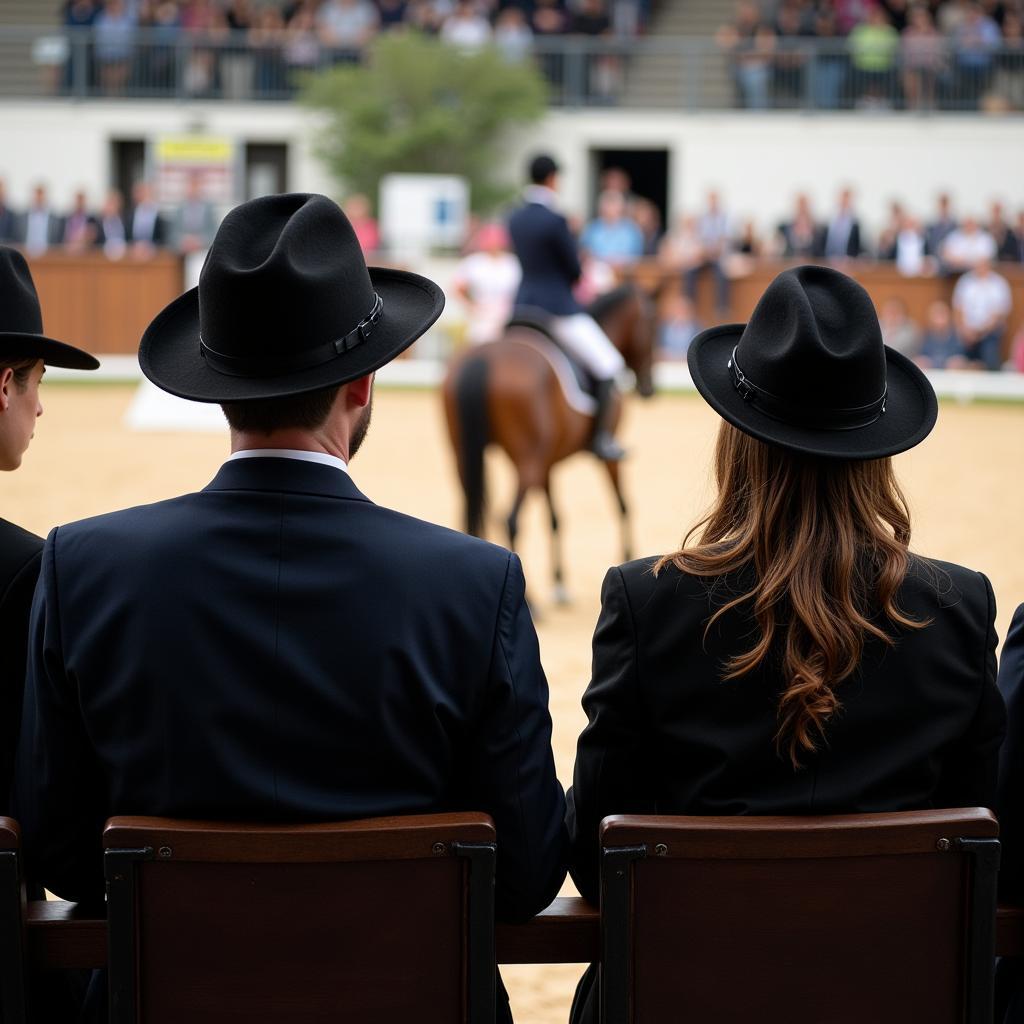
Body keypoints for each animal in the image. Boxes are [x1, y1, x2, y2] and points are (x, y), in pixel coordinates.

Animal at [440, 284, 655, 602]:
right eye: (653, 325)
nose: (649, 389)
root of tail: (485, 357)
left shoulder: (548, 463)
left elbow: (555, 517)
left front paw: (559, 582)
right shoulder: (607, 457)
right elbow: (623, 504)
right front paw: (628, 556)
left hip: (464, 455)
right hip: (526, 461)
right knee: (510, 519)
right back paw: (529, 600)